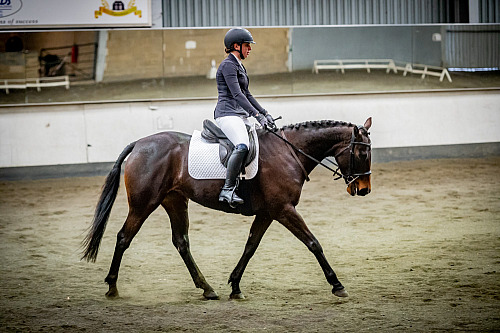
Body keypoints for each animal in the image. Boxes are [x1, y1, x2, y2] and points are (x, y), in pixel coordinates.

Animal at [82, 116, 372, 298]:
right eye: (362, 153)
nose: (364, 189)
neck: (290, 152)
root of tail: (139, 144)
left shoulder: (268, 212)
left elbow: (251, 246)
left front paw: (235, 286)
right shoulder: (284, 209)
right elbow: (313, 243)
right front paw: (337, 284)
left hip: (175, 201)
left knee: (181, 242)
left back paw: (207, 288)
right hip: (143, 204)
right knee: (124, 238)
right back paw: (112, 287)